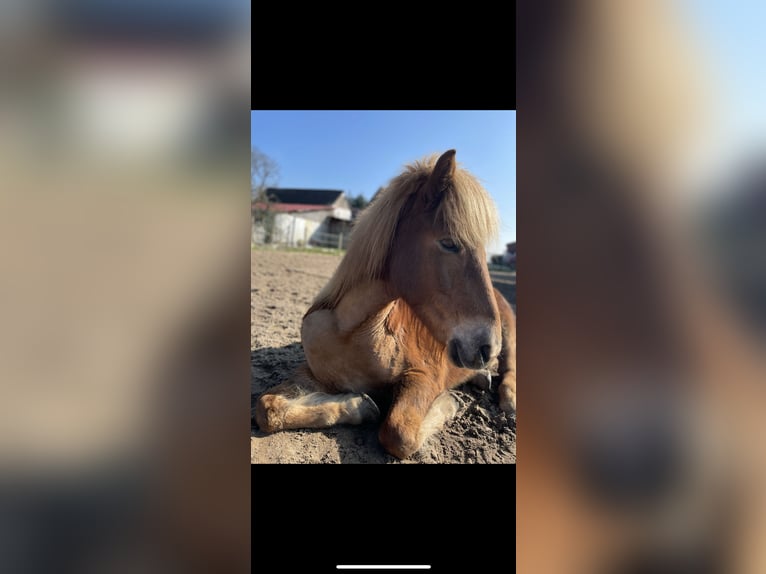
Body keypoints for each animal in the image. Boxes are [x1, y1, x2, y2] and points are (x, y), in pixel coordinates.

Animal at [254, 149, 516, 460]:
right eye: (449, 243)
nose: (487, 347)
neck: (353, 332)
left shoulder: (423, 375)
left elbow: (398, 432)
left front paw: (449, 403)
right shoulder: (311, 373)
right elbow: (267, 409)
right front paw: (358, 405)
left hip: (510, 336)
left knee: (510, 367)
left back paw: (508, 398)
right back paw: (481, 376)